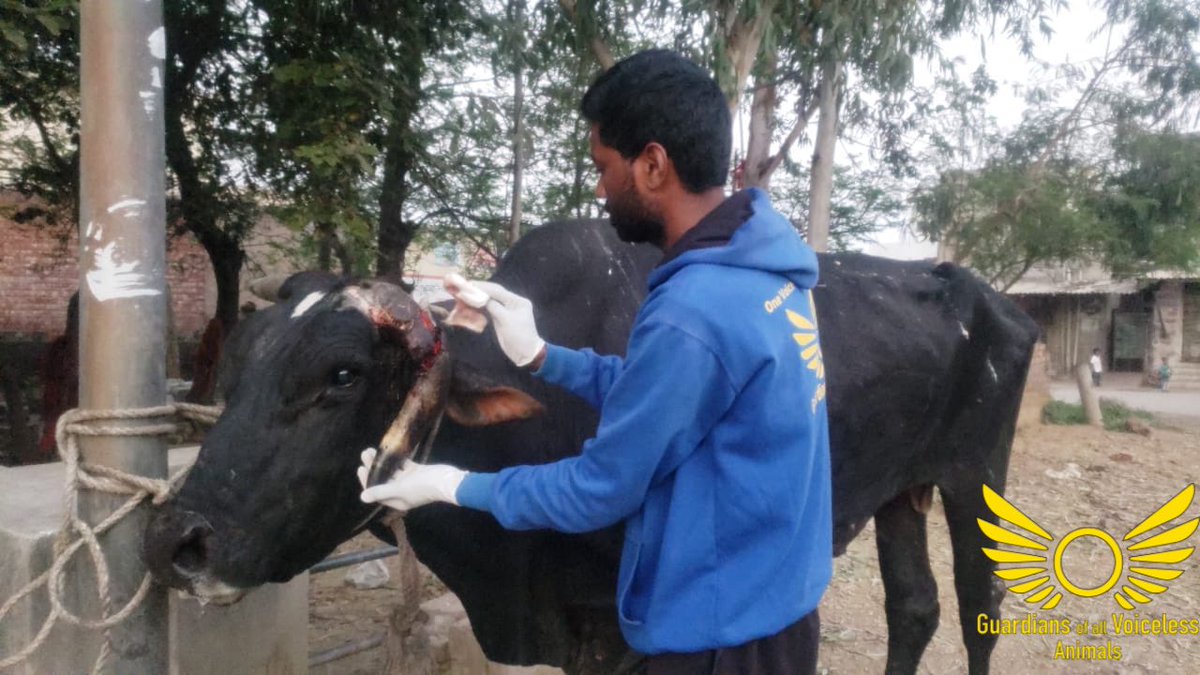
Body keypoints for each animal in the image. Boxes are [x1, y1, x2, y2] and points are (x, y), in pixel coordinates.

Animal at [143, 218, 1039, 675]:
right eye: (238, 361)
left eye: (341, 373)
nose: (177, 541)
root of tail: (972, 286)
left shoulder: (621, 627)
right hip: (899, 490)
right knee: (913, 605)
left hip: (976, 476)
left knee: (978, 602)